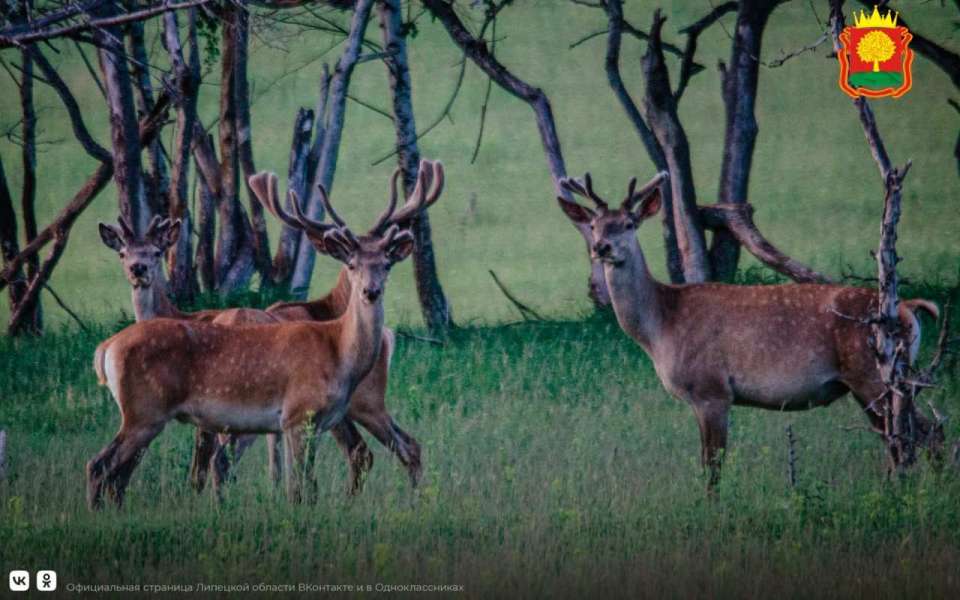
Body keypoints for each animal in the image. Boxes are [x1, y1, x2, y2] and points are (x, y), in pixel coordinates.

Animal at [86, 163, 438, 506]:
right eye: (351, 264)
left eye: (387, 264)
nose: (370, 291)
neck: (338, 352)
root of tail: (107, 347)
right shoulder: (297, 413)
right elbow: (299, 490)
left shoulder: (313, 421)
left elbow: (306, 487)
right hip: (144, 410)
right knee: (101, 465)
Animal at [560, 170, 940, 488]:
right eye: (593, 225)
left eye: (628, 223)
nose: (601, 247)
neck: (661, 326)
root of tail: (908, 309)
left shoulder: (712, 389)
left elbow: (712, 464)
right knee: (910, 433)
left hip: (872, 372)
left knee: (921, 431)